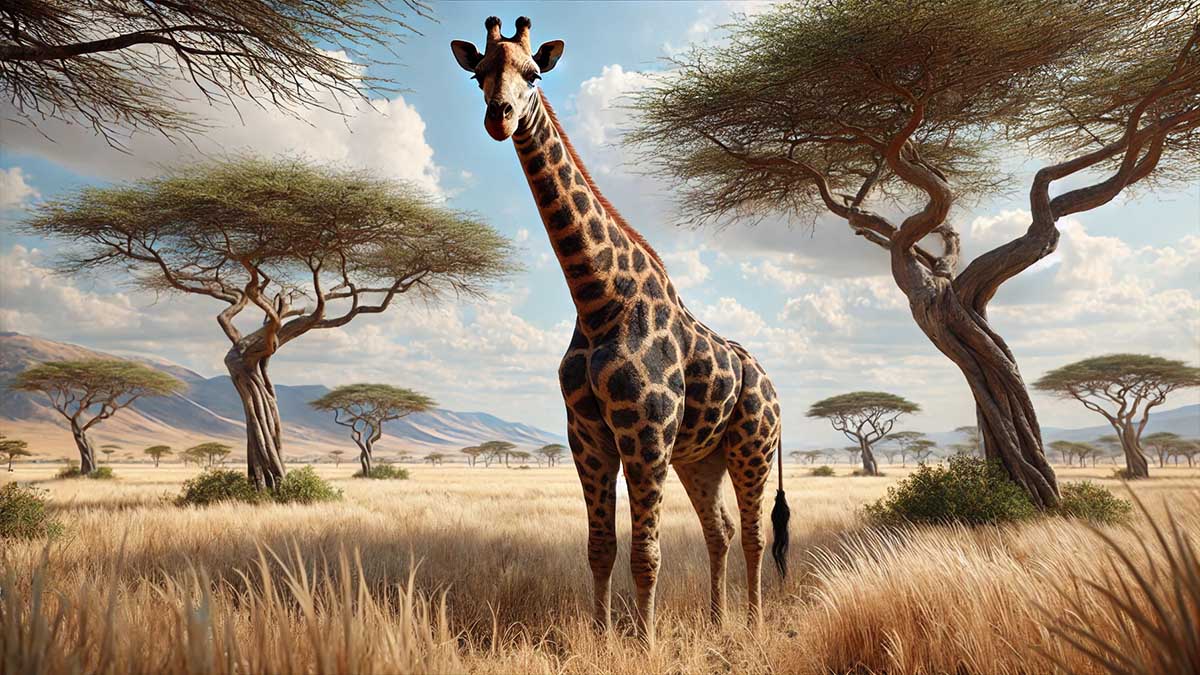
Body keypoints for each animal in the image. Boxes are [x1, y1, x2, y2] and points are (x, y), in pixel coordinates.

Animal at [451, 16, 790, 643]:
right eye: (479, 72)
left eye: (533, 74)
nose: (499, 117)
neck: (597, 301)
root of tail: (776, 388)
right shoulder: (587, 437)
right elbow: (601, 547)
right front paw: (604, 635)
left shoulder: (645, 432)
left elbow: (645, 553)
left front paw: (646, 641)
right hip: (699, 458)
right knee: (722, 529)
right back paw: (716, 623)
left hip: (751, 445)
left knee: (755, 534)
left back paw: (753, 625)